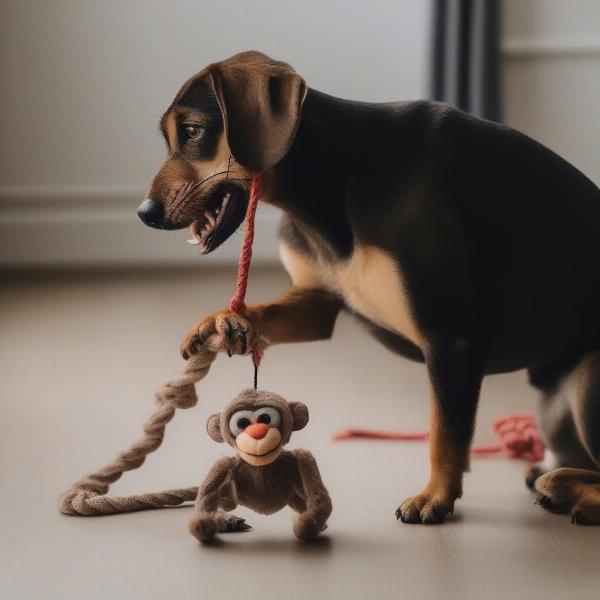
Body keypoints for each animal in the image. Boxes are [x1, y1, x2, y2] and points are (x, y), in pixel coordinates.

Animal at [138, 49, 600, 524]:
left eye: (193, 131)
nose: (144, 212)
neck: (331, 181)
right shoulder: (318, 304)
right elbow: (262, 313)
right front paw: (219, 322)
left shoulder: (449, 337)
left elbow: (445, 433)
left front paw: (435, 496)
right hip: (553, 412)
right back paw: (556, 480)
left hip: (590, 383)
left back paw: (568, 491)